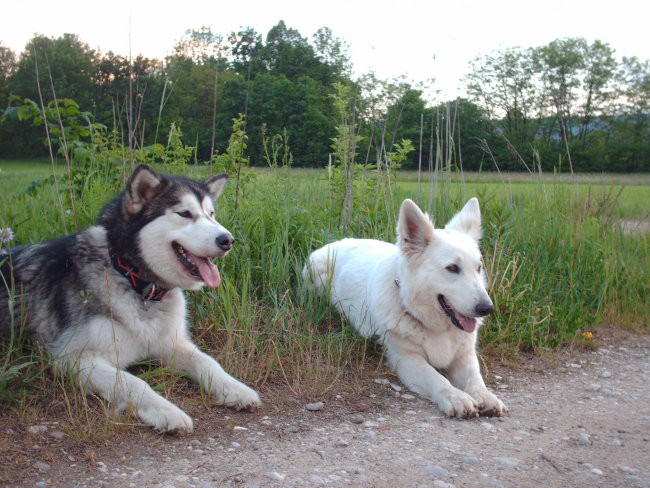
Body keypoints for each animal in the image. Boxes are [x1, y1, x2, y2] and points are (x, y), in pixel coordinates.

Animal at [304, 196, 506, 418]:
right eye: (452, 268)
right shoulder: (407, 358)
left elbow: (475, 379)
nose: (487, 308)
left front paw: (485, 396)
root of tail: (334, 243)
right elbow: (436, 377)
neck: (436, 327)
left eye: (478, 268)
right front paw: (456, 396)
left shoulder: (464, 356)